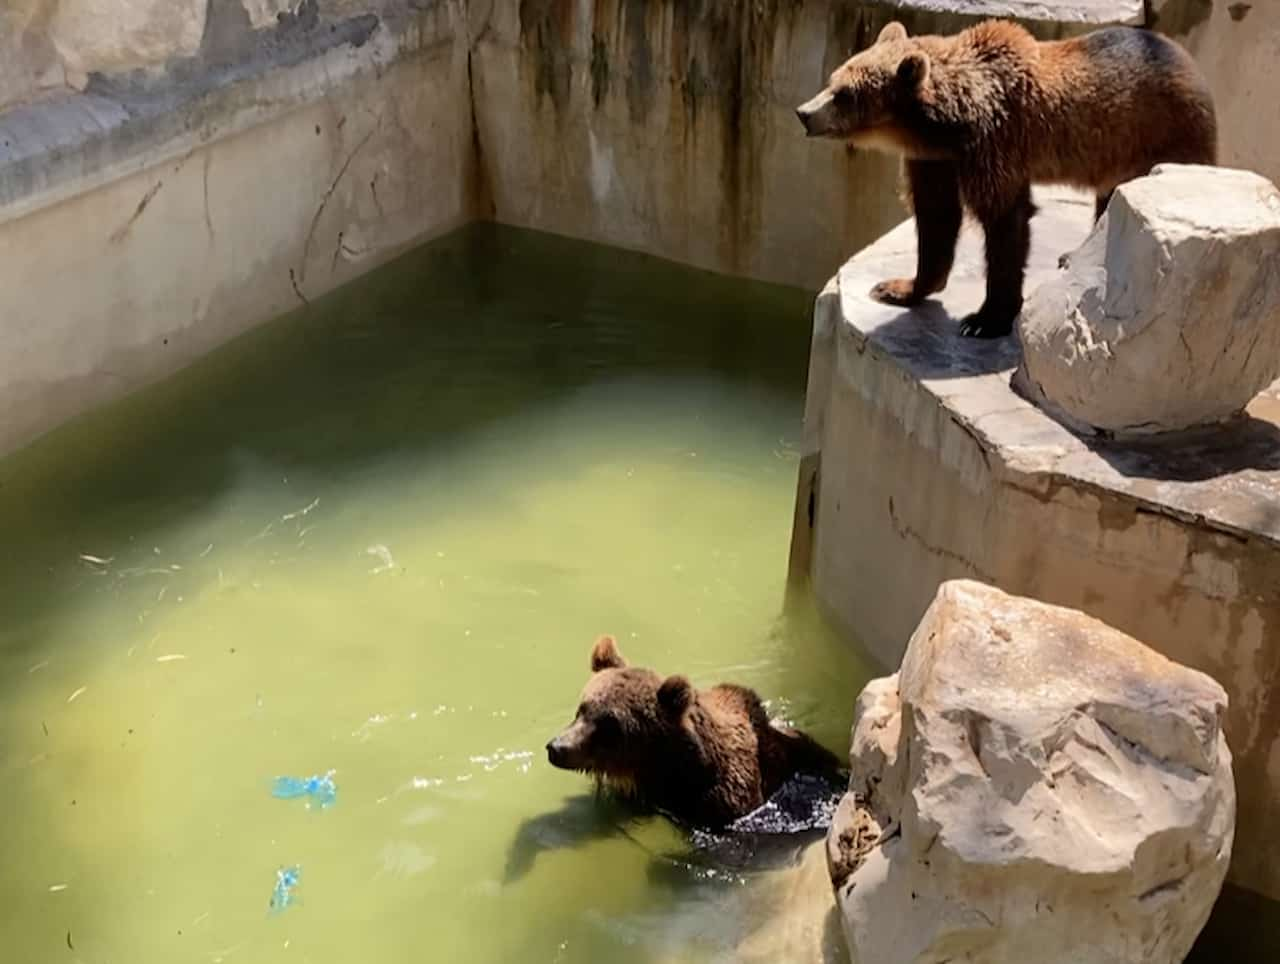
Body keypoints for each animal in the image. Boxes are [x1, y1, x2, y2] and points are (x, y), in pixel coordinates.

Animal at [793, 18, 1213, 337]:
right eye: (833, 78)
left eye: (845, 94)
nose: (804, 112)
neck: (944, 125)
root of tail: (1190, 63)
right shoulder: (934, 160)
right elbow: (936, 218)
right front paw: (898, 287)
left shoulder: (995, 144)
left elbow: (1003, 223)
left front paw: (984, 319)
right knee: (1107, 196)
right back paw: (1073, 254)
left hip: (1165, 137)